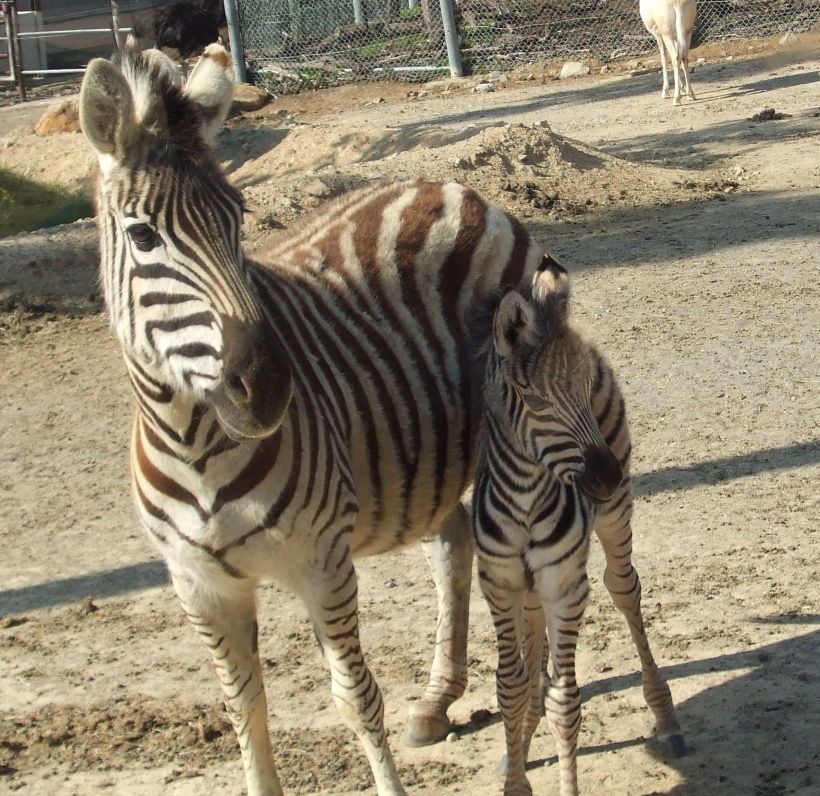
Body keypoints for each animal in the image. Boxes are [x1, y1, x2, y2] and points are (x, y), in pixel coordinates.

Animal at [78, 45, 547, 795]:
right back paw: (438, 700)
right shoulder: (199, 584)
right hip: (426, 454)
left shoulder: (321, 559)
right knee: (452, 544)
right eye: (143, 235)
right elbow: (242, 702)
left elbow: (355, 698)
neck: (191, 441)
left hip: (515, 435)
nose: (269, 385)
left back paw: (527, 719)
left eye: (238, 220)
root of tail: (451, 187)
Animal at [473, 262, 685, 795]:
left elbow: (565, 702)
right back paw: (523, 741)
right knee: (533, 641)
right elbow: (510, 686)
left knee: (624, 588)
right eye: (531, 399)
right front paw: (516, 775)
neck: (526, 498)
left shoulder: (567, 586)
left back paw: (667, 719)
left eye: (583, 388)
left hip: (615, 520)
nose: (605, 478)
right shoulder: (499, 584)